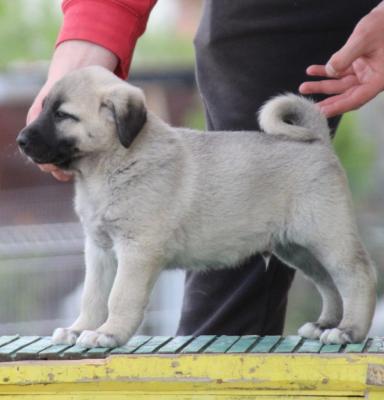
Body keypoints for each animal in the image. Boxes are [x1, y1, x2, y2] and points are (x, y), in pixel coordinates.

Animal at [17, 65, 376, 346]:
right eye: (45, 108)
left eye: (63, 116)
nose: (21, 140)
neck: (111, 164)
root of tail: (317, 140)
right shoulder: (99, 251)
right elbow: (92, 296)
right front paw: (80, 329)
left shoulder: (136, 251)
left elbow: (120, 296)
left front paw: (109, 333)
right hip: (298, 248)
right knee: (329, 282)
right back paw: (326, 323)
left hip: (328, 237)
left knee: (357, 276)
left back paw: (348, 331)